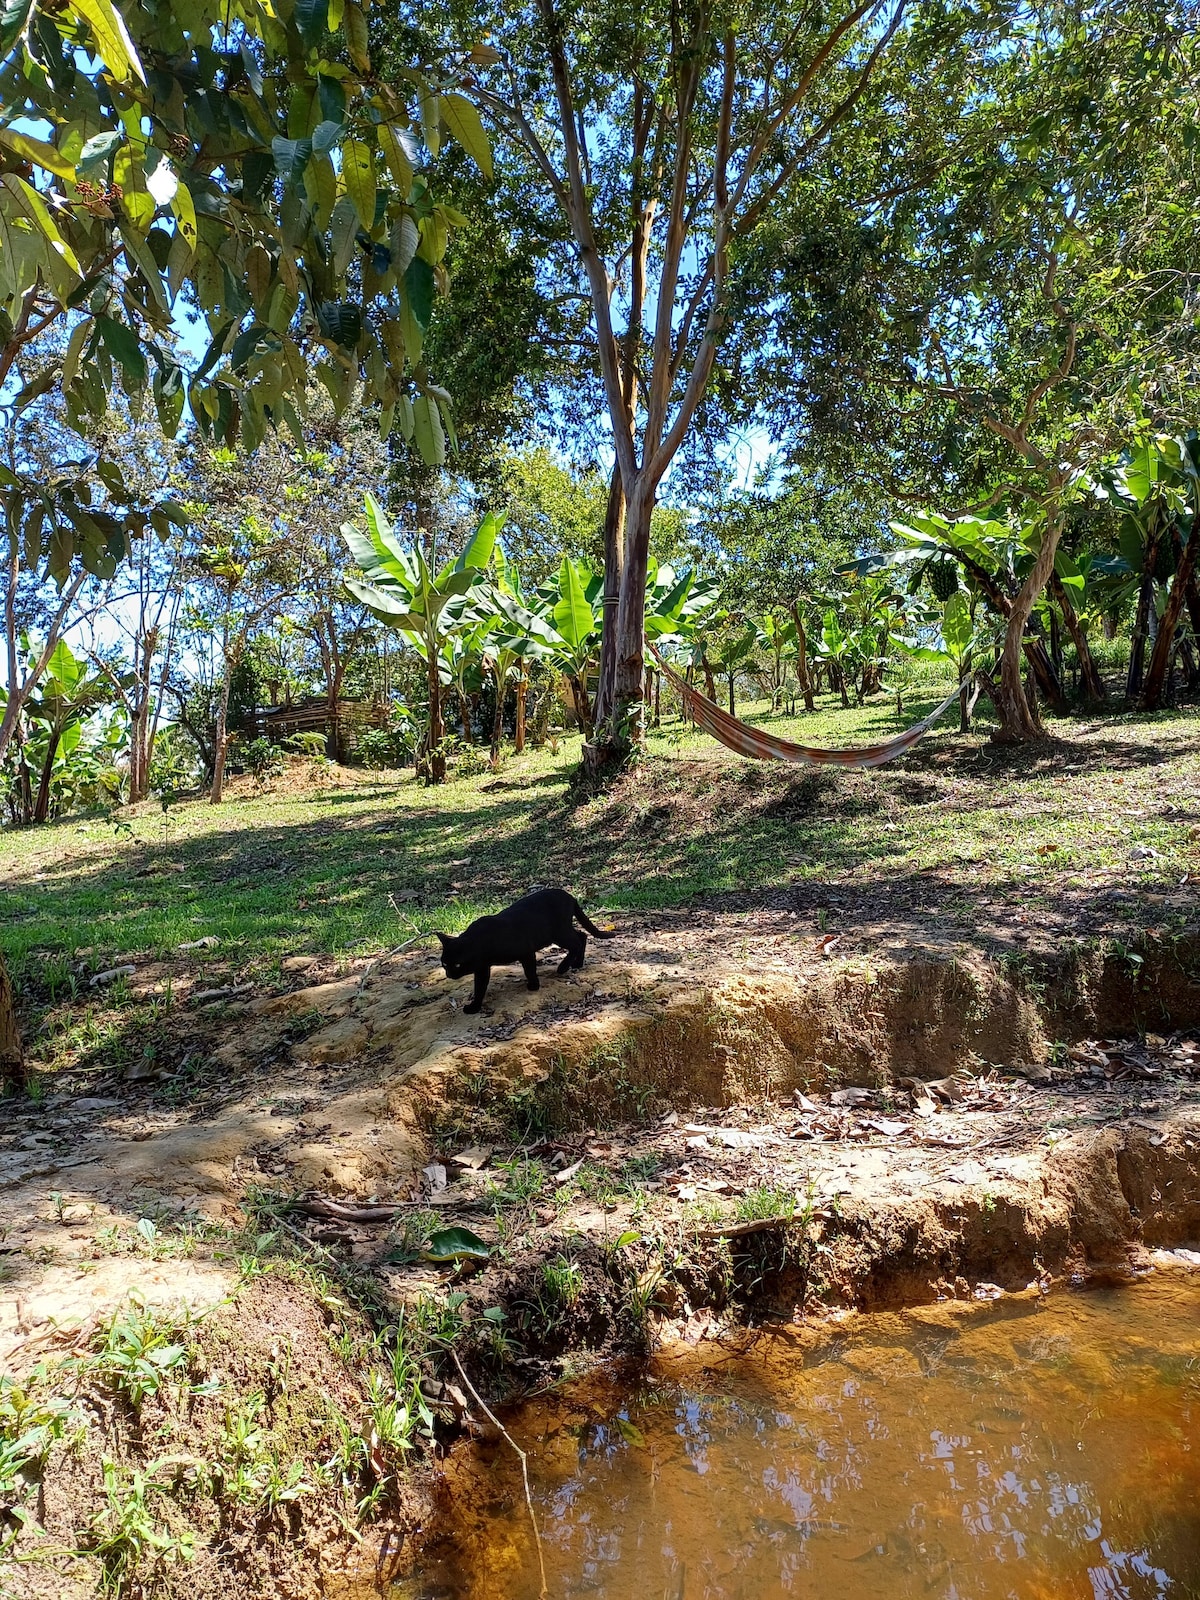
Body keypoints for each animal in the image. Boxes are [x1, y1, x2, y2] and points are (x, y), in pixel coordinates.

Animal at [435, 889, 620, 1011]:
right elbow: (479, 987)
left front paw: (534, 985)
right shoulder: (482, 968)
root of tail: (569, 895)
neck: (481, 942)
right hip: (561, 932)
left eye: (457, 964)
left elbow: (529, 969)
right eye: (444, 964)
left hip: (559, 933)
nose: (449, 974)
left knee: (577, 942)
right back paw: (577, 964)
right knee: (582, 936)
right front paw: (474, 1006)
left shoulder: (526, 951)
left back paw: (563, 967)